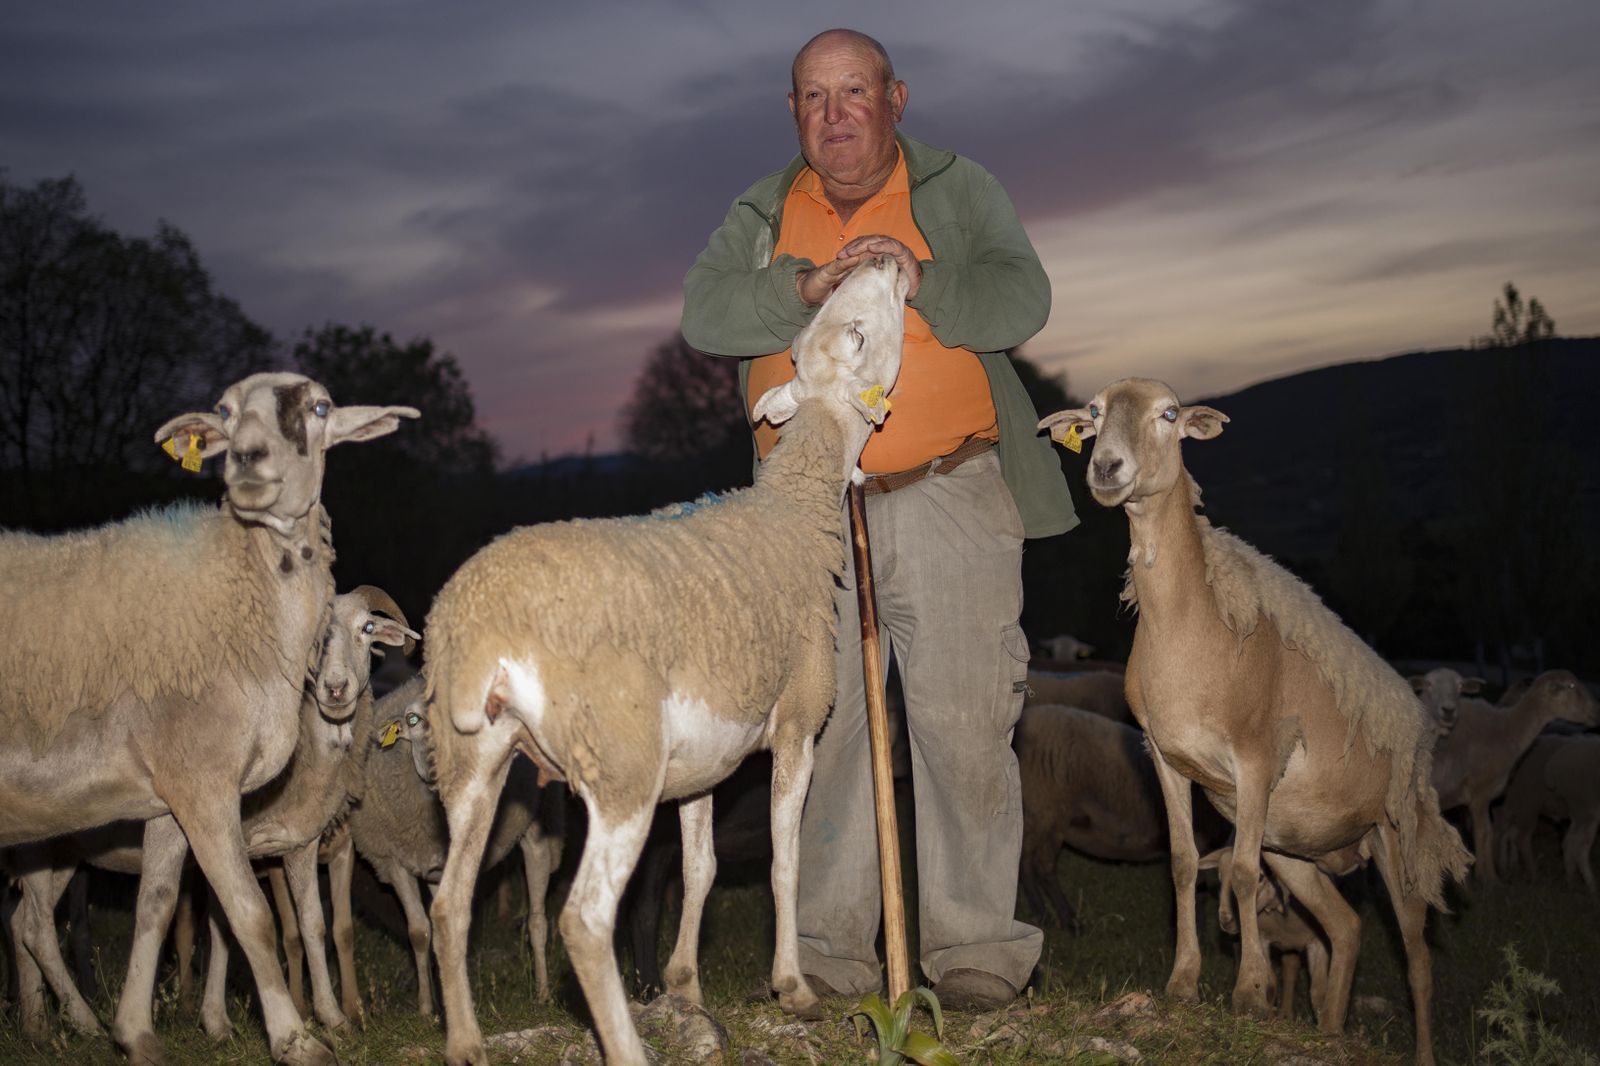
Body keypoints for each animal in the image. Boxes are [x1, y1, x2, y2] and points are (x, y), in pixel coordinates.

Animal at [0, 371, 417, 1066]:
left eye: (321, 408)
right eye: (223, 412)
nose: (333, 689)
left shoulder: (211, 811)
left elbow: (171, 907)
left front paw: (148, 1032)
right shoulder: (210, 795)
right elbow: (247, 919)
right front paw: (288, 1034)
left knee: (24, 923)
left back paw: (42, 1025)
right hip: (47, 845)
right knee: (33, 925)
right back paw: (74, 1020)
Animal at [337, 675, 562, 1017]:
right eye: (412, 720)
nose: (436, 763)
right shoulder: (393, 861)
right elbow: (419, 931)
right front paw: (427, 1007)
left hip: (535, 823)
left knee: (537, 919)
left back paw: (543, 992)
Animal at [421, 254, 908, 1066]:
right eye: (858, 333)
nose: (887, 258)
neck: (791, 511)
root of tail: (484, 621)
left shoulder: (702, 761)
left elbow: (702, 869)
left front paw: (684, 984)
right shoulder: (797, 726)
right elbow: (784, 860)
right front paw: (792, 986)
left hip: (472, 764)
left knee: (448, 902)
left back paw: (464, 1043)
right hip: (619, 764)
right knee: (584, 919)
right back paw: (624, 1047)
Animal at [1199, 845, 1330, 1024]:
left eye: (1260, 877)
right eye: (1219, 875)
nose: (1225, 920)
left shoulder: (1319, 941)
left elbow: (1319, 991)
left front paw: (1322, 1024)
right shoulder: (1261, 939)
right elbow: (1270, 981)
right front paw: (1268, 1016)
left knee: (1291, 968)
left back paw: (1286, 1015)